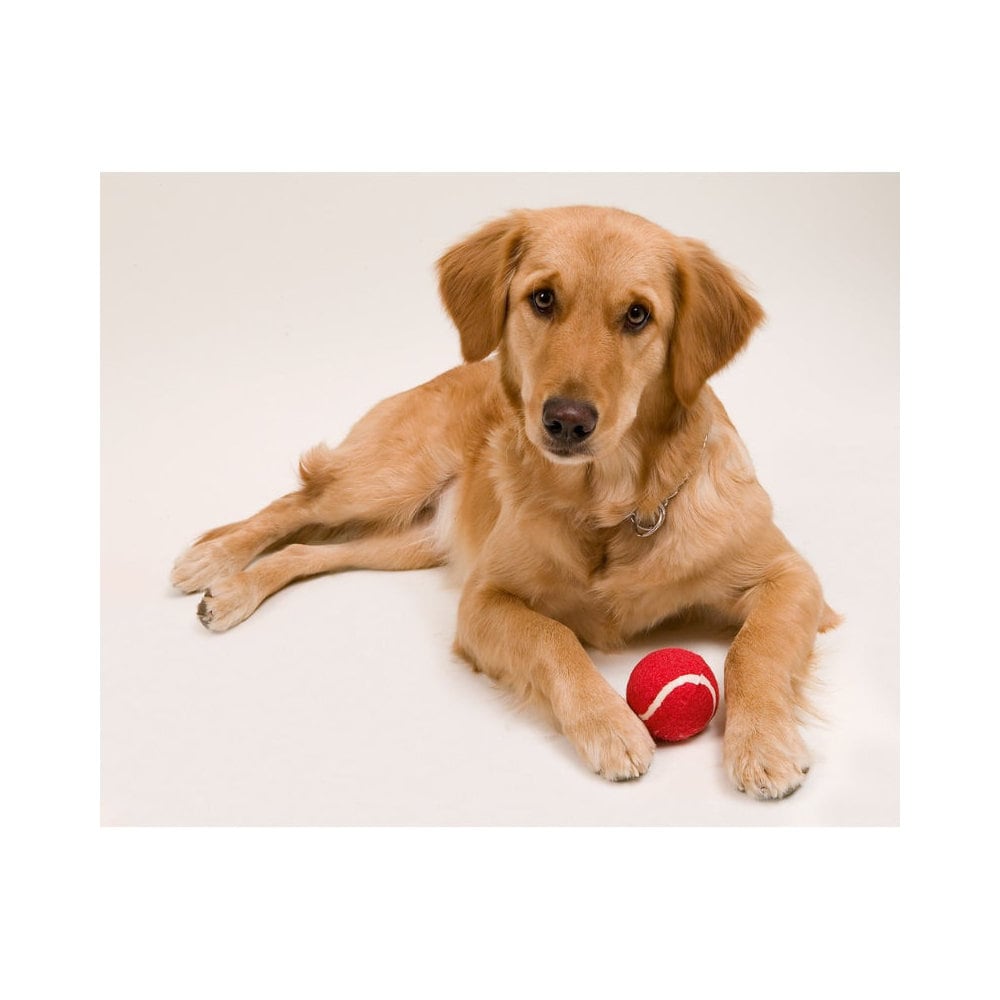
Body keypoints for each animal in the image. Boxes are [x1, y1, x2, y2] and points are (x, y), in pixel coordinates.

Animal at [171, 205, 839, 799]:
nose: (566, 420)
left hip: (409, 541)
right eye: (542, 299)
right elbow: (555, 638)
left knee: (308, 551)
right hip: (386, 478)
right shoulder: (483, 600)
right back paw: (212, 562)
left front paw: (762, 743)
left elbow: (753, 649)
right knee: (296, 503)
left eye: (638, 315)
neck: (615, 508)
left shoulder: (790, 576)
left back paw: (232, 591)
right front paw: (610, 725)